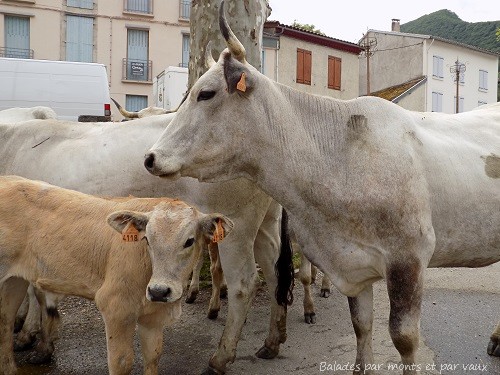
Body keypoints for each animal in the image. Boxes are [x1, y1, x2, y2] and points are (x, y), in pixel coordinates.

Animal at [0, 176, 231, 375]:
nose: (158, 291)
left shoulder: (154, 316)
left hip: (14, 280)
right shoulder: (115, 307)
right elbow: (121, 362)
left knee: (6, 319)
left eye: (189, 241)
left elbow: (153, 357)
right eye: (147, 239)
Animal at [143, 2, 500, 374]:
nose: (150, 158)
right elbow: (362, 326)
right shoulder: (353, 263)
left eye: (206, 93)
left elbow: (404, 338)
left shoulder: (409, 257)